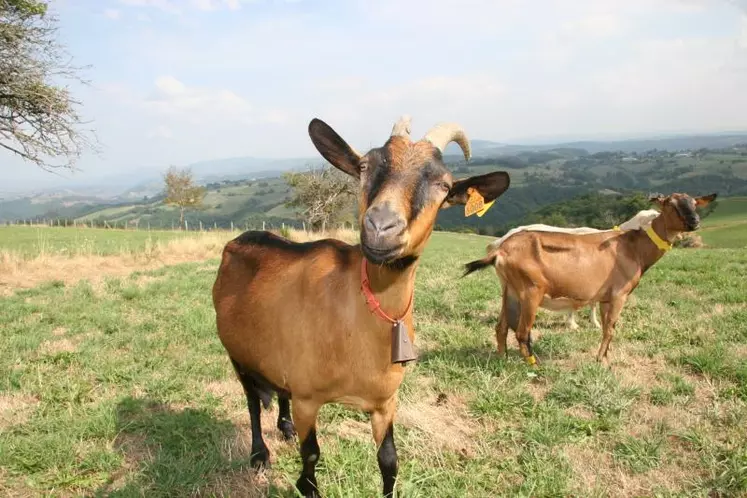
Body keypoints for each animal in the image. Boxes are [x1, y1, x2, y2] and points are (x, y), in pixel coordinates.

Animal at [213, 115, 512, 496]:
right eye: (366, 166)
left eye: (444, 185)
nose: (381, 227)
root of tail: (238, 241)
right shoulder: (308, 399)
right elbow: (311, 456)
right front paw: (304, 483)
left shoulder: (386, 403)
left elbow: (389, 460)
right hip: (237, 352)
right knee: (252, 402)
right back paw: (259, 455)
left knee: (278, 391)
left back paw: (285, 427)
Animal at [464, 193, 716, 368]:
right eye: (671, 204)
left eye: (694, 203)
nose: (695, 221)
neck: (634, 248)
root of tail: (500, 250)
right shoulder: (618, 295)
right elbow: (610, 329)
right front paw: (601, 361)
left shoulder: (603, 298)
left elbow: (604, 326)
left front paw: (602, 356)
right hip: (530, 291)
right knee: (522, 331)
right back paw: (534, 366)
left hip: (510, 290)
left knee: (501, 326)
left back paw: (502, 358)